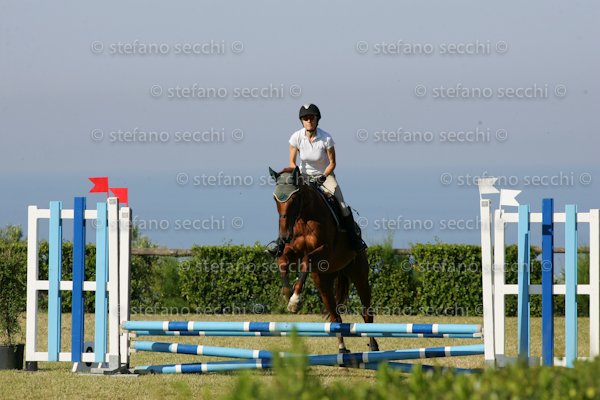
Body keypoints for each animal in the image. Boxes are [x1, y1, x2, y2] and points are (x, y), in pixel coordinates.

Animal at [269, 166, 379, 353]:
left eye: (294, 198)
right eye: (275, 198)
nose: (284, 236)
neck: (305, 217)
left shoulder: (325, 251)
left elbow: (307, 260)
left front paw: (295, 301)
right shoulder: (291, 252)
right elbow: (283, 262)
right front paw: (288, 295)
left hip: (359, 275)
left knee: (366, 312)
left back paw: (373, 346)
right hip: (323, 282)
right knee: (335, 317)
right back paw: (342, 349)